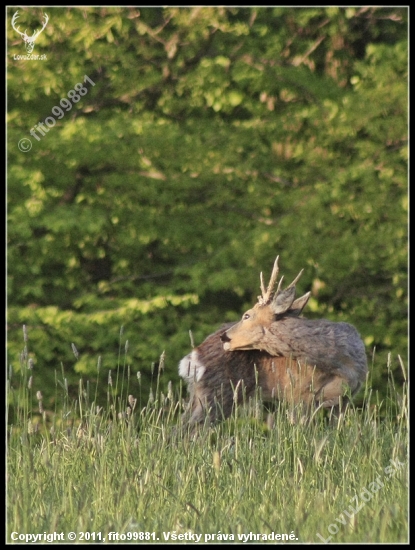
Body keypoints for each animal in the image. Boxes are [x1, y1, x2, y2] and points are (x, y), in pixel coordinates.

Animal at [179, 258, 368, 426]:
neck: (340, 362)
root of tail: (194, 356)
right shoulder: (300, 393)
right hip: (220, 390)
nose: (224, 337)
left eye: (247, 315)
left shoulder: (345, 399)